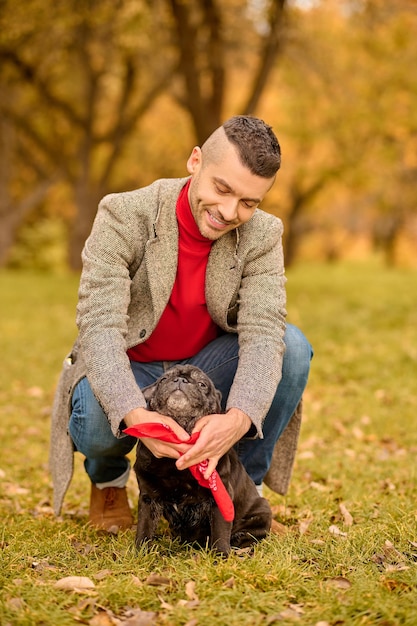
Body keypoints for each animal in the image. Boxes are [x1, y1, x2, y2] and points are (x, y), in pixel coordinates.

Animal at [131, 364, 272, 552]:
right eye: (163, 380)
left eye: (202, 384)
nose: (181, 380)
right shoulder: (148, 498)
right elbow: (145, 528)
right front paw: (141, 552)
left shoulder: (219, 499)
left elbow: (220, 532)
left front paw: (220, 555)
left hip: (261, 512)